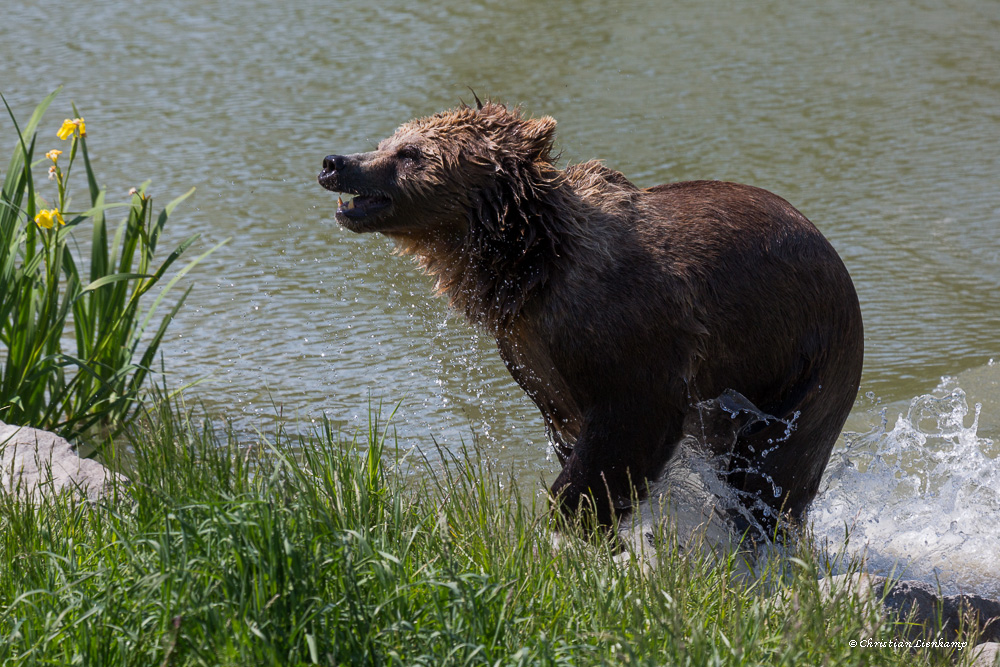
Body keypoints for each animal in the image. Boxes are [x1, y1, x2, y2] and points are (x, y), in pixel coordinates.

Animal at [316, 100, 864, 536]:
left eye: (411, 153)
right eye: (388, 141)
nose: (335, 162)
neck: (531, 265)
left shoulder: (628, 330)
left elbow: (626, 426)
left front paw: (570, 519)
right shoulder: (528, 349)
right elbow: (567, 424)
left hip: (807, 366)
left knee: (773, 470)